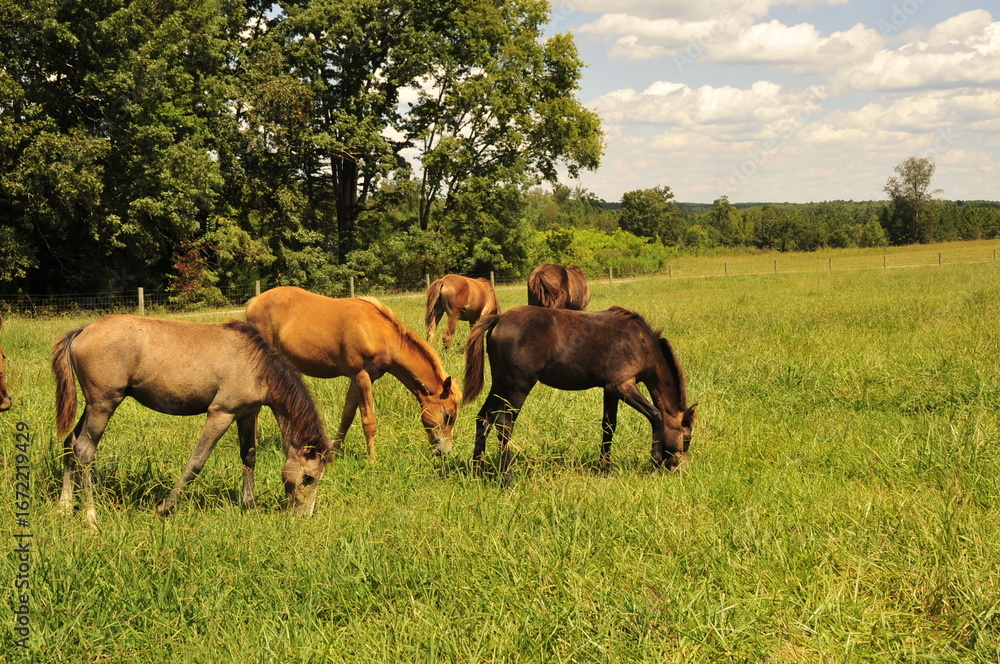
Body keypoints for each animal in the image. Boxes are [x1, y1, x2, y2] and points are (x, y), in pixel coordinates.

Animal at [52, 315, 331, 529]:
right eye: (308, 478)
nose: (304, 516)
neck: (256, 364)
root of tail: (84, 330)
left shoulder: (246, 414)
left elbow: (249, 457)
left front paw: (248, 505)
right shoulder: (221, 413)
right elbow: (196, 462)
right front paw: (164, 508)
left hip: (93, 406)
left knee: (70, 443)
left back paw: (64, 507)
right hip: (103, 404)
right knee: (84, 450)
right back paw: (90, 517)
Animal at [245, 286, 461, 464]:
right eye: (448, 416)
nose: (445, 452)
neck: (375, 332)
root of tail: (253, 303)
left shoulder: (359, 379)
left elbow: (347, 416)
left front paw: (334, 453)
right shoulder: (361, 377)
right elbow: (368, 422)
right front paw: (372, 461)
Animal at [464, 306, 696, 482]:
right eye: (686, 437)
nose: (679, 468)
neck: (642, 343)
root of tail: (499, 318)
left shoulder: (610, 390)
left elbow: (608, 426)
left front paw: (605, 469)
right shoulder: (623, 386)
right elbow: (656, 415)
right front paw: (654, 464)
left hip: (500, 385)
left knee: (484, 418)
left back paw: (477, 473)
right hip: (517, 388)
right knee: (504, 423)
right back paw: (506, 478)